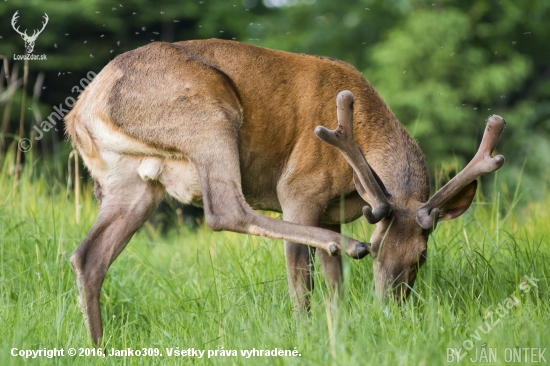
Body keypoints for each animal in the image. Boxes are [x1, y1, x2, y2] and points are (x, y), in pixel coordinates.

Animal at [63, 38, 504, 344]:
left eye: (423, 256)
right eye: (380, 247)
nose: (390, 306)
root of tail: (81, 110)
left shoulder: (329, 209)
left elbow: (333, 280)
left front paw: (338, 325)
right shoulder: (300, 188)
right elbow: (301, 272)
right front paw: (306, 330)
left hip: (131, 181)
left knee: (88, 255)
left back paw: (99, 345)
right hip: (209, 113)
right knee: (226, 210)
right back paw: (346, 243)